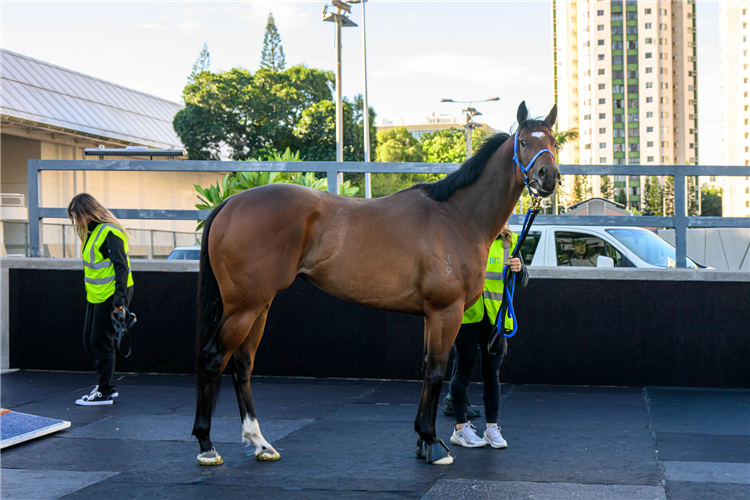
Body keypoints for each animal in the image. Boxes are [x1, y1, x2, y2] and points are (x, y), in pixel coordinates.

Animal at [192, 100, 560, 464]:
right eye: (523, 142)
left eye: (553, 142)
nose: (549, 177)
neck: (456, 217)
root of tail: (230, 202)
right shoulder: (446, 312)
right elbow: (437, 371)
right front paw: (433, 442)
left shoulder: (431, 316)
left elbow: (426, 368)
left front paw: (421, 439)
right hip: (244, 306)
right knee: (214, 358)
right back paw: (207, 445)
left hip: (261, 305)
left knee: (242, 363)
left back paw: (260, 442)